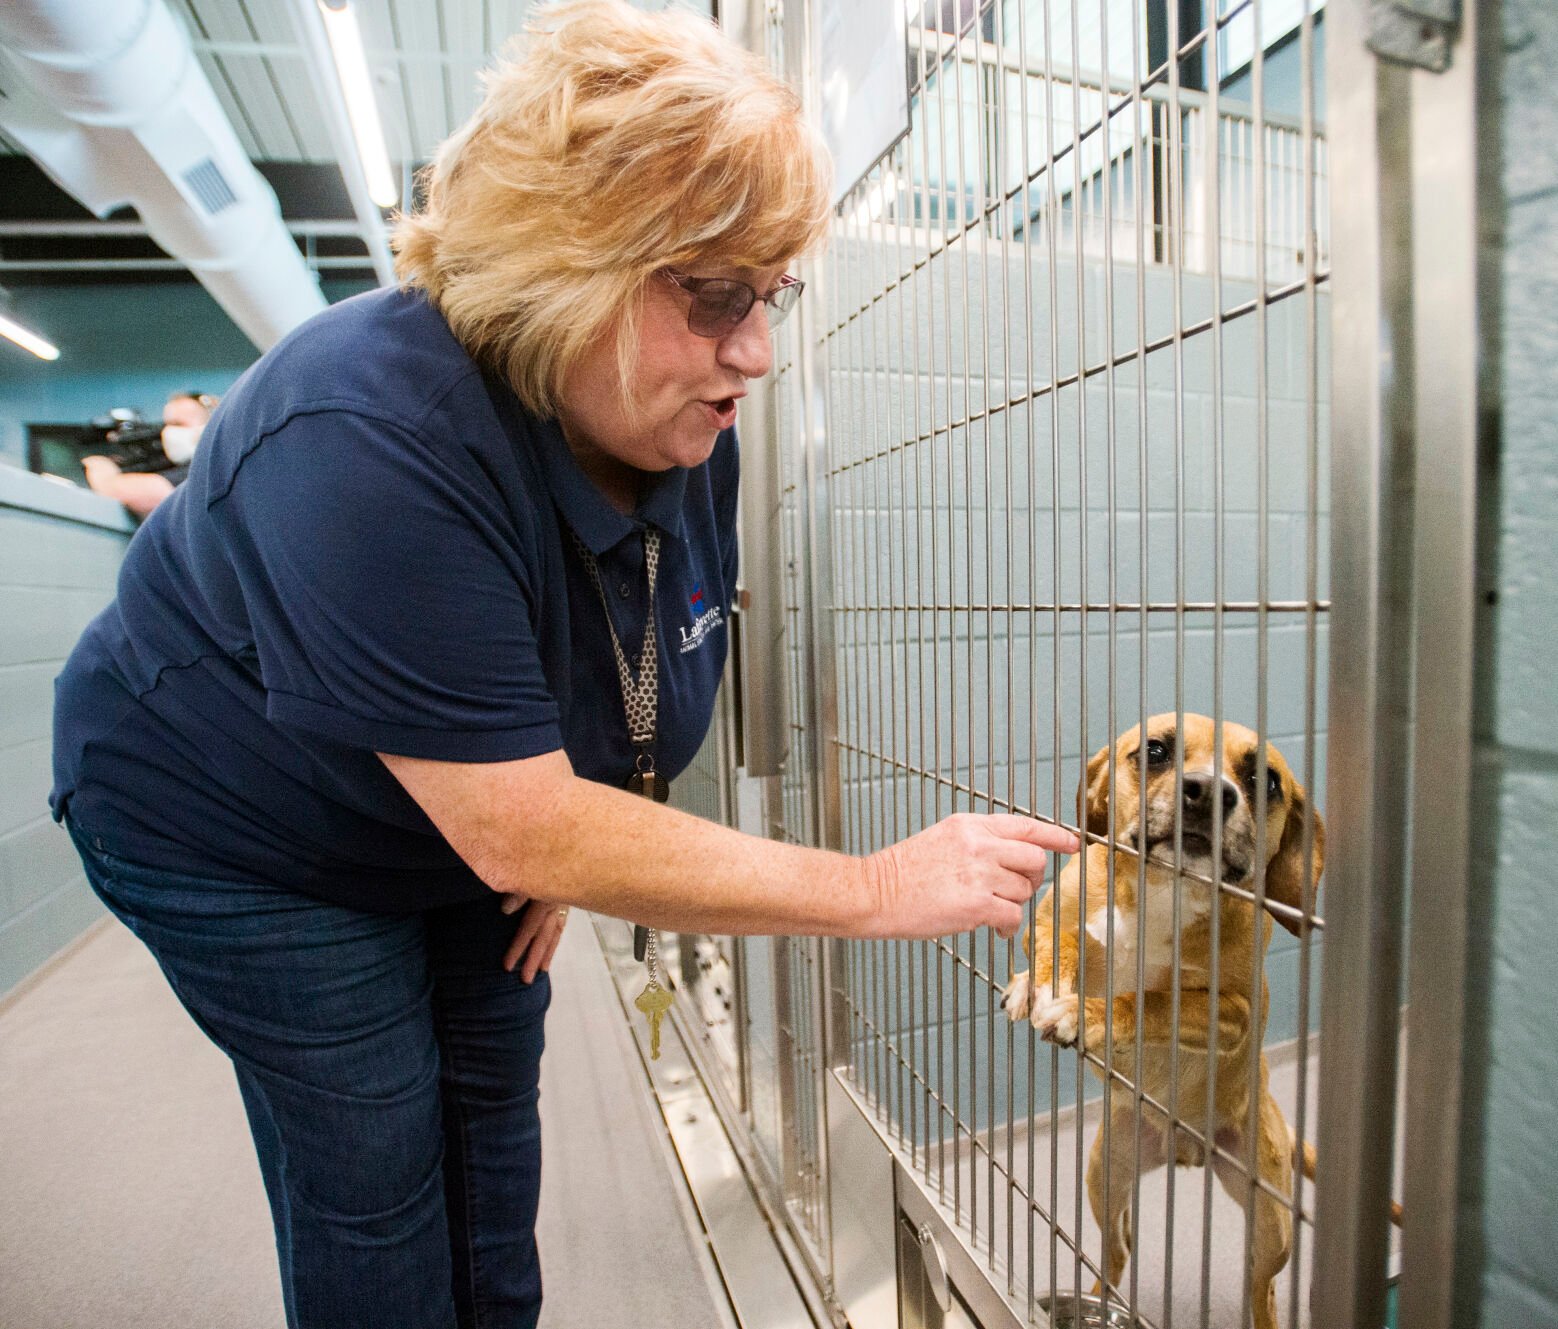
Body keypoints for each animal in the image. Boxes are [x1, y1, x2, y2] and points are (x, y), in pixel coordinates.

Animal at [1003, 716, 1321, 1327]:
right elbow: (1062, 946)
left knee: (1262, 1286)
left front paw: (1081, 1011)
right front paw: (1036, 988)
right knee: (1117, 1249)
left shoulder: (1232, 1012)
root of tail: (1186, 1153)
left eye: (1265, 780)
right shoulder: (1051, 916)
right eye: (1154, 751)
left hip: (1271, 1223)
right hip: (1104, 1174)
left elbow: (1151, 1002)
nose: (1206, 790)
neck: (1163, 894)